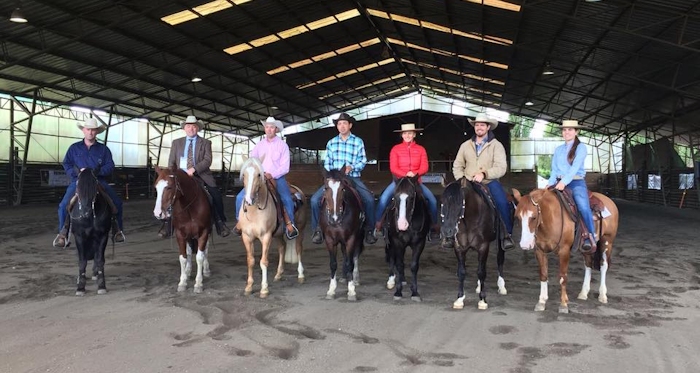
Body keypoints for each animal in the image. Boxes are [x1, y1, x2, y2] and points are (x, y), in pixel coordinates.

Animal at [152, 164, 209, 292]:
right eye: (156, 188)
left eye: (169, 187)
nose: (158, 213)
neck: (190, 208)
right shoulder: (180, 234)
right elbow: (183, 257)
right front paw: (182, 282)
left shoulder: (204, 232)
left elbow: (200, 256)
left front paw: (198, 283)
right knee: (189, 252)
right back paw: (188, 271)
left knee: (205, 250)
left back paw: (206, 270)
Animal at [237, 156, 308, 296]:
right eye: (244, 175)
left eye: (259, 174)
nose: (249, 200)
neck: (254, 211)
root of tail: (298, 190)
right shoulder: (247, 237)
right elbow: (251, 261)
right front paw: (249, 287)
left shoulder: (266, 236)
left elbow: (263, 262)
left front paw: (264, 289)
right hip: (278, 234)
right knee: (282, 247)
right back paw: (278, 274)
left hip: (300, 229)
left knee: (298, 249)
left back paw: (301, 275)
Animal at [322, 168, 366, 300]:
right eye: (326, 188)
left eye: (342, 189)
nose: (334, 218)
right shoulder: (329, 240)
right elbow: (333, 264)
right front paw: (331, 290)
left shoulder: (351, 238)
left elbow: (350, 262)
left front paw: (351, 291)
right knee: (345, 254)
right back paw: (344, 277)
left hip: (358, 237)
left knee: (354, 256)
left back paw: (355, 278)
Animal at [438, 177, 508, 308]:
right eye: (442, 202)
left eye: (459, 203)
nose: (447, 231)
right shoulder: (459, 247)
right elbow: (462, 272)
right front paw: (459, 299)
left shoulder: (483, 246)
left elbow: (481, 272)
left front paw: (482, 300)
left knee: (500, 259)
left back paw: (501, 286)